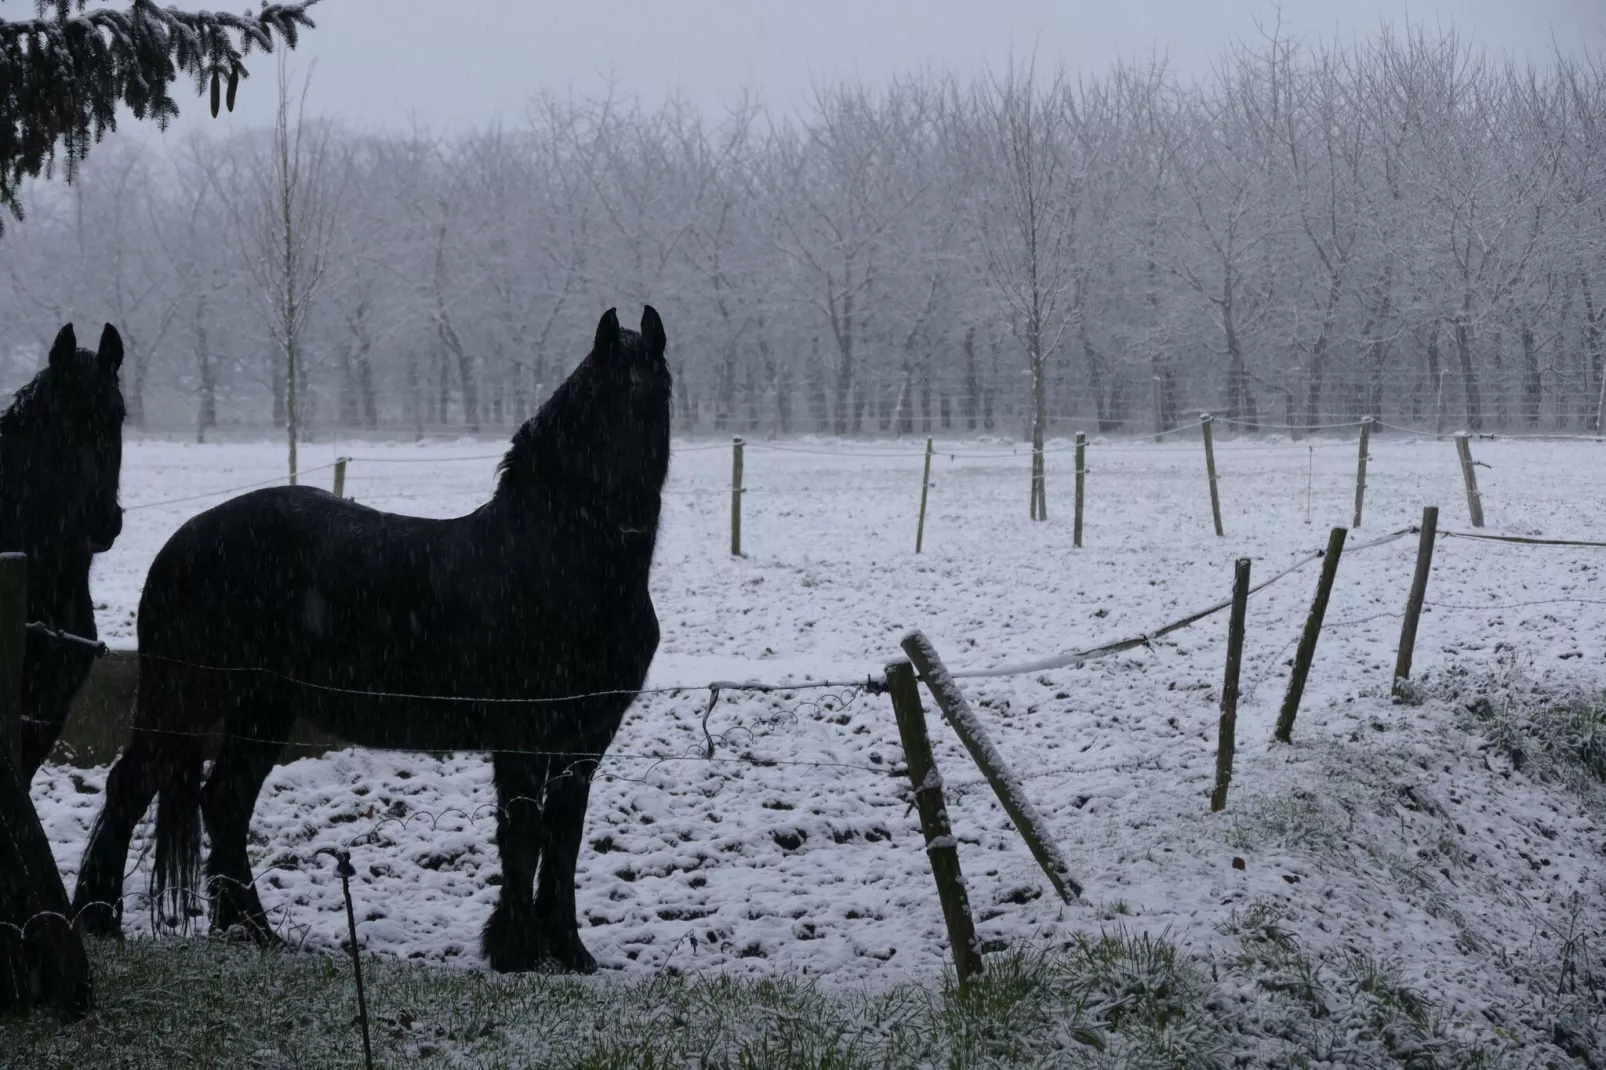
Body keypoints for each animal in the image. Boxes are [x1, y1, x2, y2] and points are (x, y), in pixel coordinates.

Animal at [75, 303, 671, 970]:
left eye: (657, 398)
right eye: (599, 401)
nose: (629, 513)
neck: (559, 564)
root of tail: (179, 543)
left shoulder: (585, 739)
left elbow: (564, 838)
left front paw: (567, 951)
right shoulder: (521, 733)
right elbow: (523, 831)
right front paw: (515, 951)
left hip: (263, 707)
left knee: (224, 799)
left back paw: (252, 930)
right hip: (186, 696)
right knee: (132, 785)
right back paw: (99, 920)